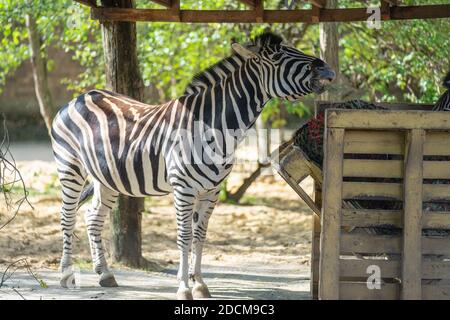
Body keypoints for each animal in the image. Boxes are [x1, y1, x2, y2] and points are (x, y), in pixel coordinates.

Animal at [51, 31, 336, 298]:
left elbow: (200, 234)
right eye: (277, 57)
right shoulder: (184, 189)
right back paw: (66, 276)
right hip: (70, 167)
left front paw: (199, 284)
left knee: (92, 217)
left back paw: (105, 274)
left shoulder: (211, 191)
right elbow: (185, 236)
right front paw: (184, 288)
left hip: (106, 177)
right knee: (67, 216)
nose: (328, 70)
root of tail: (81, 96)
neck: (215, 127)